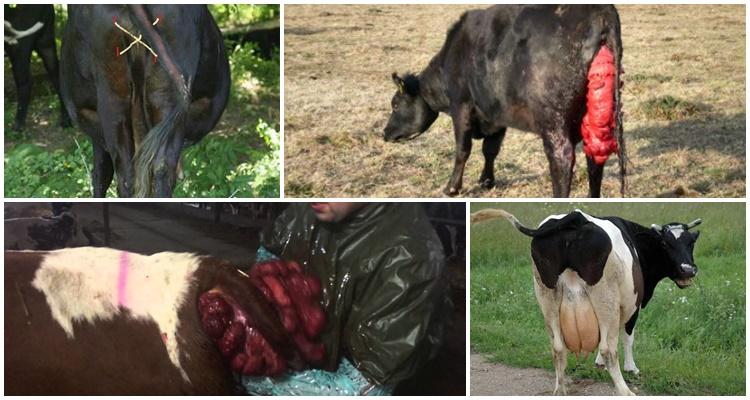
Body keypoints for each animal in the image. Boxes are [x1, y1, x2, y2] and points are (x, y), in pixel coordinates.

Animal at [385, 5, 625, 198]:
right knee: (595, 156)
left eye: (395, 104)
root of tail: (601, 11)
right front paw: (486, 180)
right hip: (595, 118)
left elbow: (463, 148)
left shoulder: (461, 104)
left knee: (562, 158)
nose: (385, 133)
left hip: (553, 119)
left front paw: (452, 187)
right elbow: (490, 149)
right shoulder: (496, 113)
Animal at [471, 208, 701, 395]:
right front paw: (631, 368)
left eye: (691, 242)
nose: (687, 270)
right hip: (605, 295)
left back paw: (560, 390)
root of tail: (576, 217)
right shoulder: (632, 305)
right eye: (665, 243)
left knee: (557, 347)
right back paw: (625, 391)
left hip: (547, 295)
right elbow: (627, 336)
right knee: (609, 349)